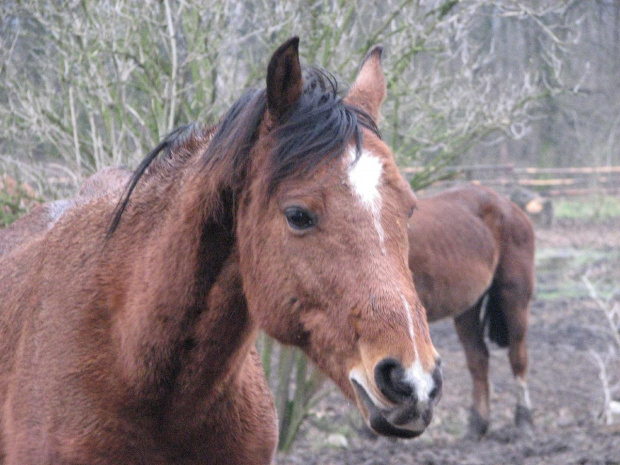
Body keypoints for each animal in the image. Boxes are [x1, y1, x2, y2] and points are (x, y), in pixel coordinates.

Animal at [410, 183, 536, 436]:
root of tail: (509, 206)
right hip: (467, 306)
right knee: (478, 358)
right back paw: (478, 424)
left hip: (514, 297)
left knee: (517, 356)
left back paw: (523, 420)